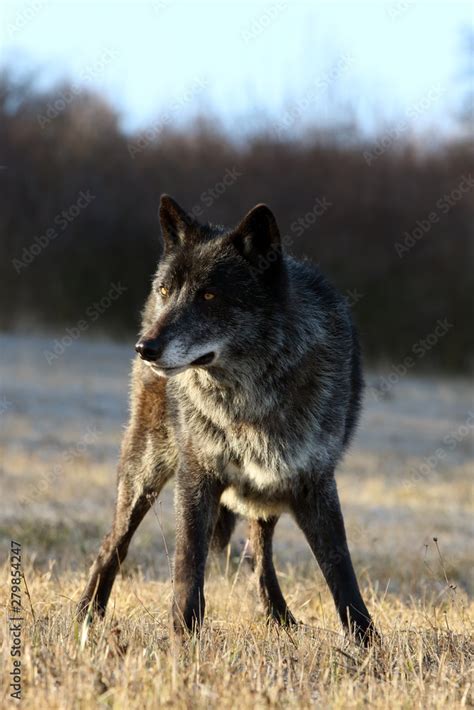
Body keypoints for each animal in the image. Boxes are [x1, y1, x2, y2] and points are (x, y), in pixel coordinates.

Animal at [77, 195, 378, 644]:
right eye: (167, 290)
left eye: (209, 295)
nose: (145, 347)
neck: (247, 402)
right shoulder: (197, 476)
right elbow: (188, 563)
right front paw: (185, 635)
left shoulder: (314, 483)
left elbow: (341, 571)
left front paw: (368, 641)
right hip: (144, 471)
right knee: (112, 544)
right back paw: (86, 613)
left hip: (265, 493)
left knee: (257, 551)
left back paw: (279, 617)